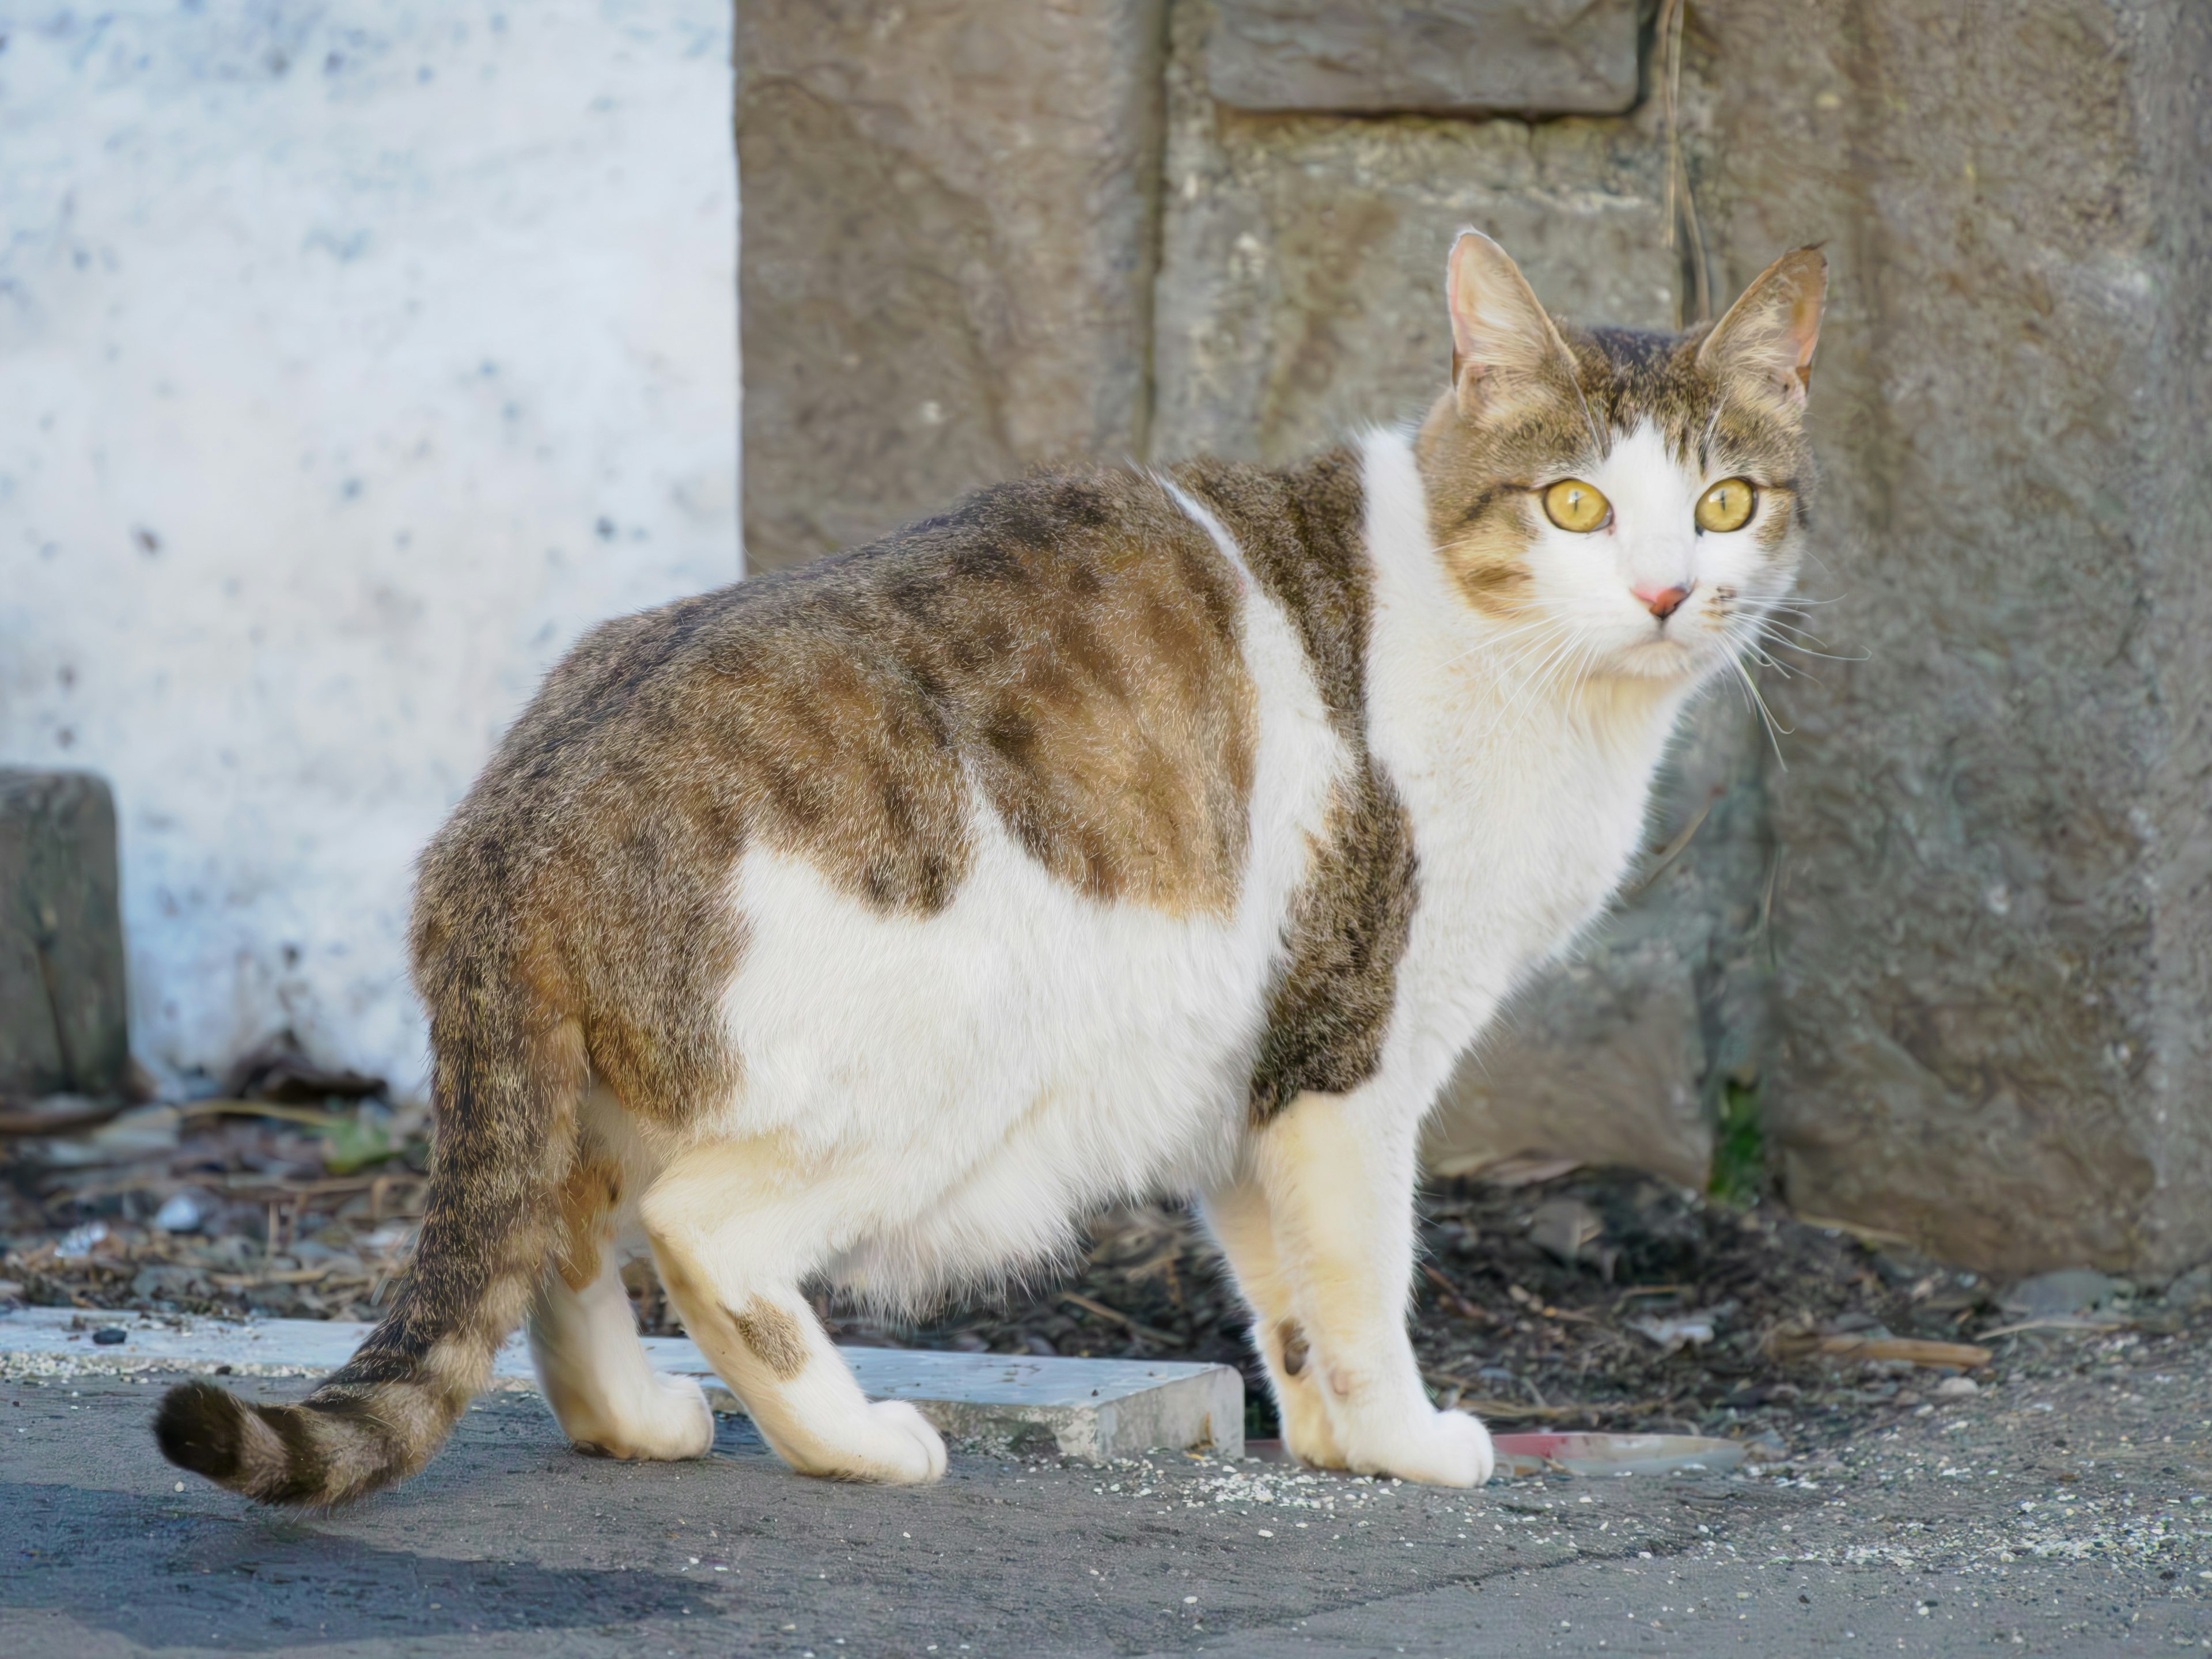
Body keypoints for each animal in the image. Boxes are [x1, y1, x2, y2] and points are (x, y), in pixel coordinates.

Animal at [151, 224, 1813, 1504]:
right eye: (1575, 505)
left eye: (1723, 504)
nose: (1666, 595)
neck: (1537, 681)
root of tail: (509, 817)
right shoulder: (1355, 1049)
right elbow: (1358, 1279)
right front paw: (1406, 1441)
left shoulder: (1252, 1068)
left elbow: (1280, 1294)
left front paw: (1336, 1444)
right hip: (956, 1048)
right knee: (700, 1231)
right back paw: (852, 1443)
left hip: (608, 1085)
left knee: (557, 1236)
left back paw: (635, 1422)